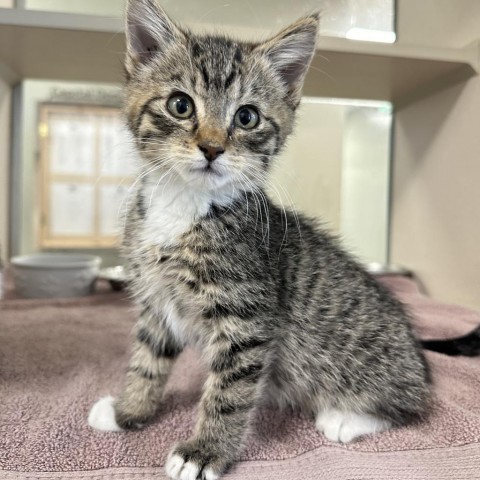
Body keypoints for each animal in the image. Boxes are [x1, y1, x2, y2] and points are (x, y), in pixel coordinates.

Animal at [88, 0, 434, 480]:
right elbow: (147, 359)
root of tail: (420, 365)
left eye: (246, 116)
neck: (186, 205)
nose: (212, 147)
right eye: (180, 105)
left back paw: (345, 417)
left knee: (407, 407)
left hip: (355, 364)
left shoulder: (246, 318)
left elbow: (229, 393)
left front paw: (205, 452)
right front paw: (128, 411)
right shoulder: (156, 302)